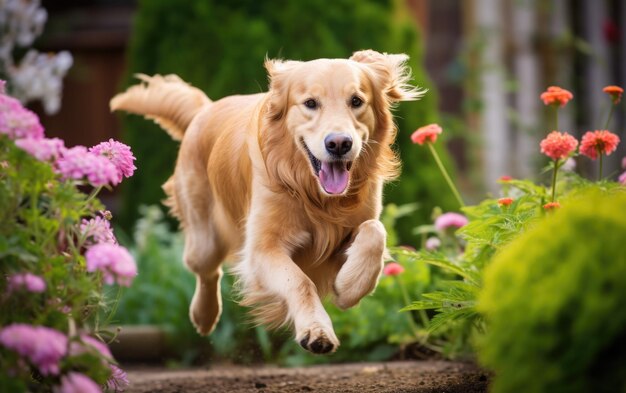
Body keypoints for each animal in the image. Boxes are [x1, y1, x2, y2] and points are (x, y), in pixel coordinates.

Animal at [112, 50, 424, 354]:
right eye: (310, 103)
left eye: (356, 101)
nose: (339, 144)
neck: (314, 195)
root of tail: (205, 109)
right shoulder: (263, 249)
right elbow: (300, 281)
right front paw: (317, 329)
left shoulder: (357, 222)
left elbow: (375, 232)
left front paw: (349, 286)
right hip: (204, 238)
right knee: (207, 270)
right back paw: (204, 315)